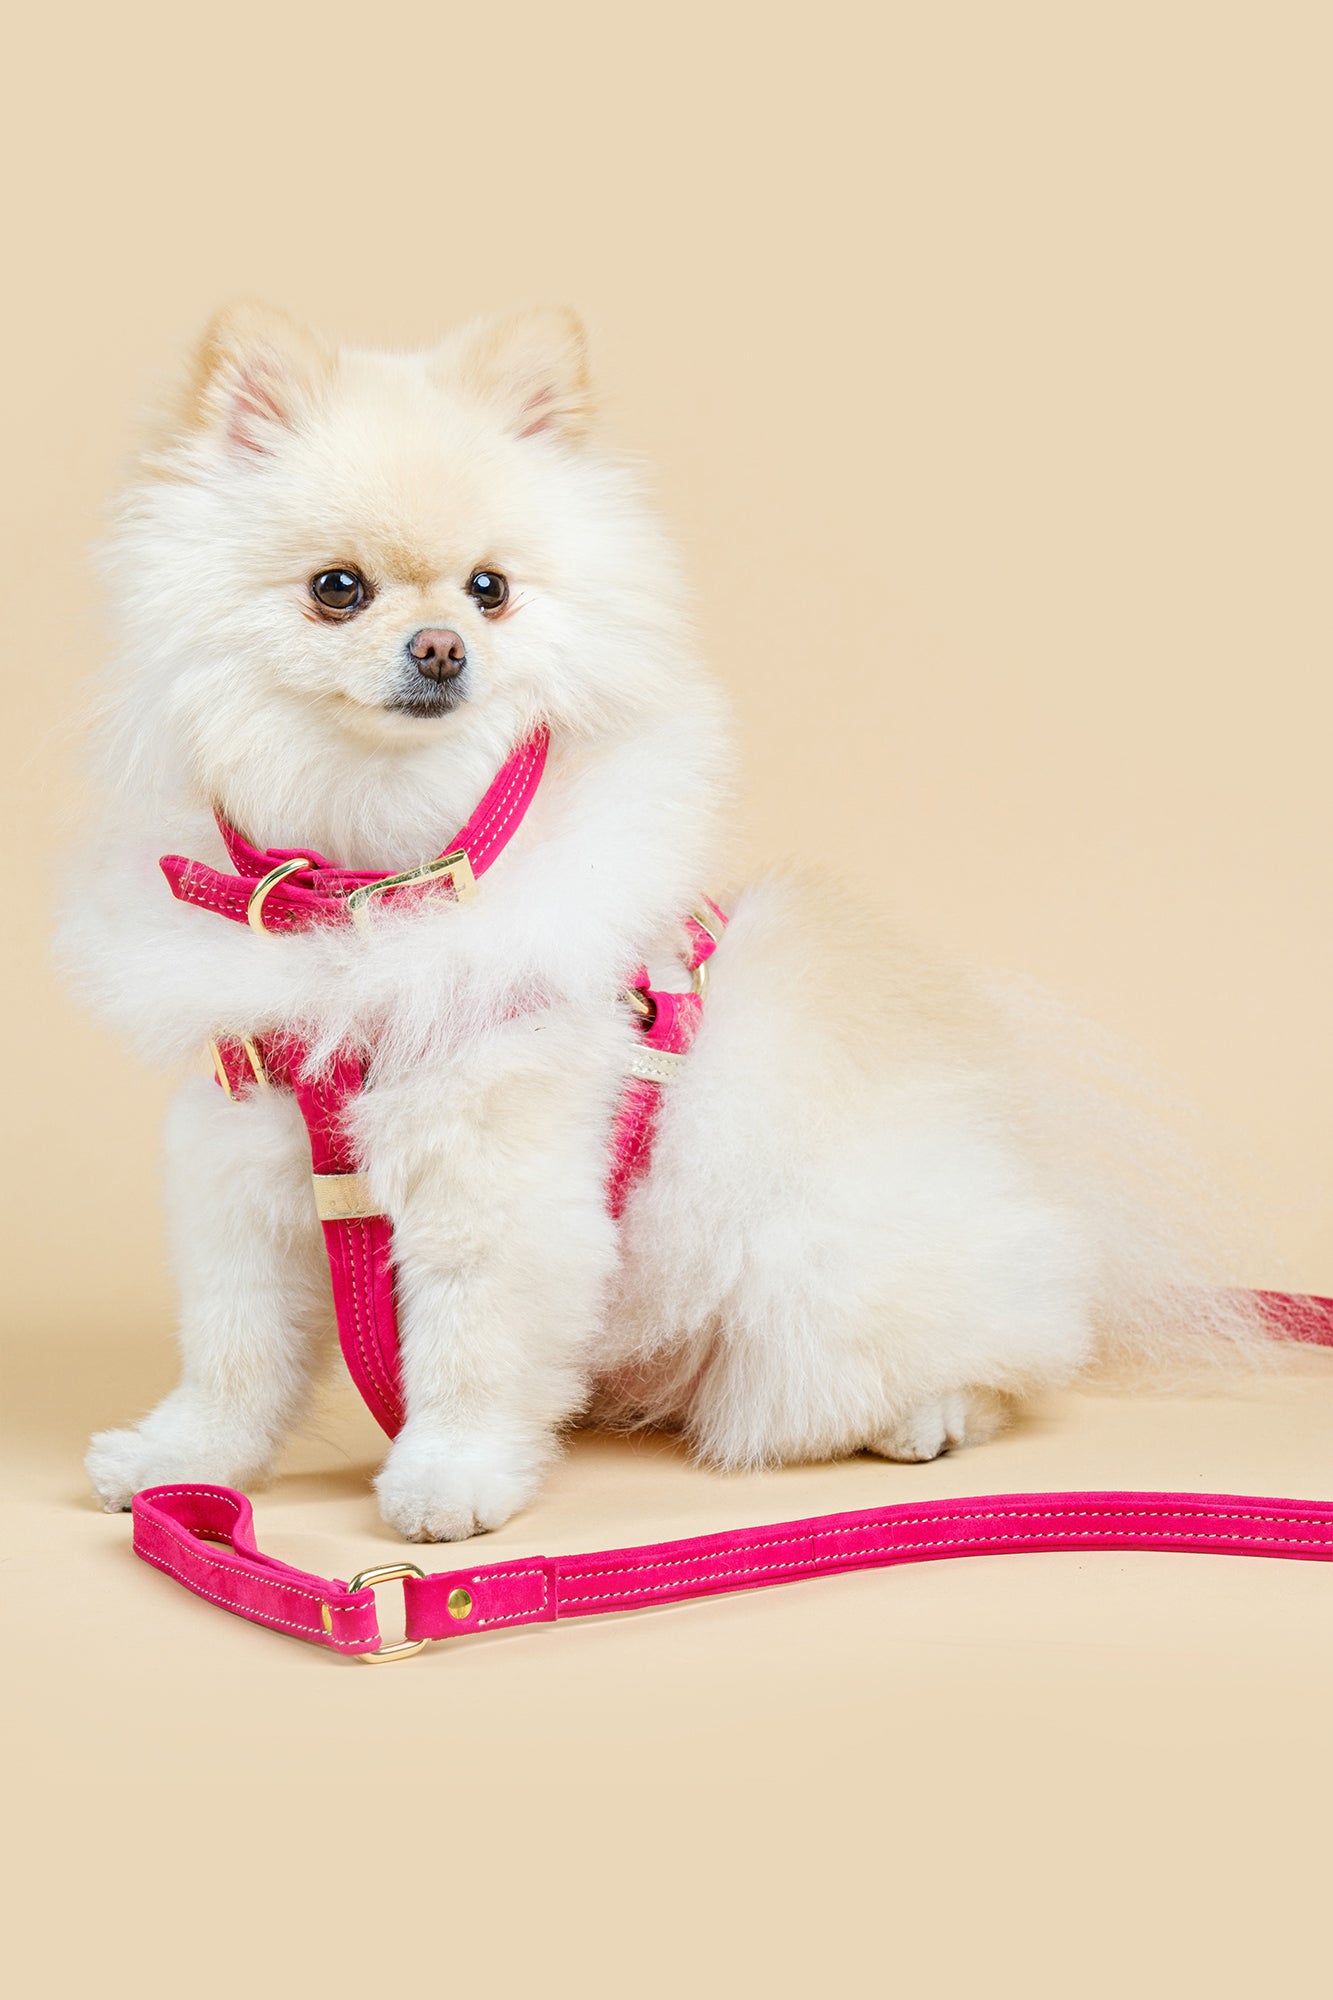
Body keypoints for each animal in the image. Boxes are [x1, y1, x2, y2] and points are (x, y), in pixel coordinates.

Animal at [67, 304, 1256, 1536]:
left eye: (489, 588)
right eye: (337, 587)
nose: (442, 648)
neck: (370, 881)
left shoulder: (498, 1173)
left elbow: (470, 1350)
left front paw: (452, 1476)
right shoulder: (250, 1161)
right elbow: (234, 1348)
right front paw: (181, 1461)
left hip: (818, 1282)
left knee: (995, 1357)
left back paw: (927, 1415)